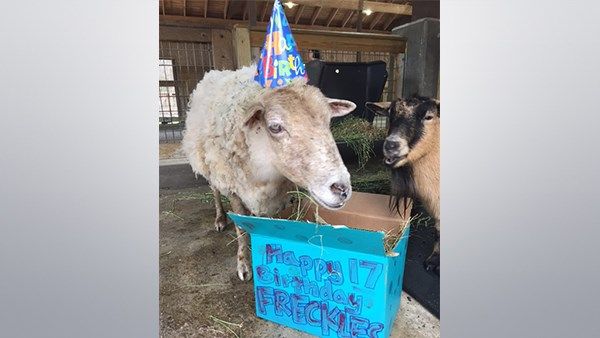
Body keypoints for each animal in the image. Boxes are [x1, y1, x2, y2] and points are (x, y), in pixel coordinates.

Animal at [180, 65, 354, 280]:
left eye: (329, 121)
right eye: (275, 127)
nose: (342, 188)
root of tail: (215, 72)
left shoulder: (278, 196)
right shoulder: (234, 188)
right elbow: (240, 229)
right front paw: (244, 264)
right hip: (209, 164)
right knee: (214, 190)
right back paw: (220, 218)